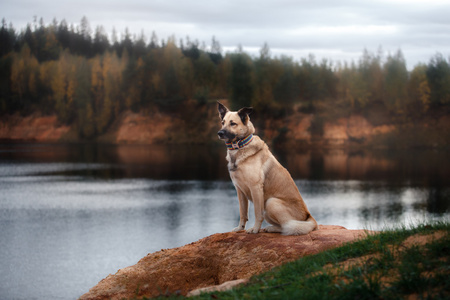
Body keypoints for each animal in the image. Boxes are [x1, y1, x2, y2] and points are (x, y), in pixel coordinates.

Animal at [217, 102, 316, 236]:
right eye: (223, 122)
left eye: (233, 123)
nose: (220, 133)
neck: (240, 147)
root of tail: (308, 216)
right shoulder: (239, 190)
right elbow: (243, 213)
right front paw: (240, 228)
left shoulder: (256, 188)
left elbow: (257, 213)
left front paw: (255, 229)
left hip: (270, 202)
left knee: (288, 226)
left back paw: (271, 228)